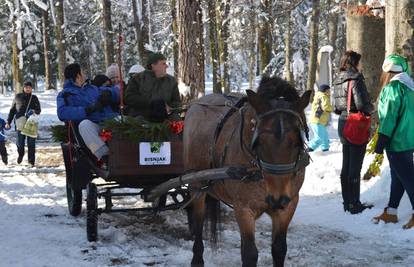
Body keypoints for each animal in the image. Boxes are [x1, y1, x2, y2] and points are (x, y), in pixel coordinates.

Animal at [184, 76, 310, 267]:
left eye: (297, 141)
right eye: (258, 142)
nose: (277, 199)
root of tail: (197, 103)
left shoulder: (289, 205)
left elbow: (279, 249)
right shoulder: (243, 208)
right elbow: (250, 254)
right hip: (196, 185)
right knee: (198, 221)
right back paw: (197, 259)